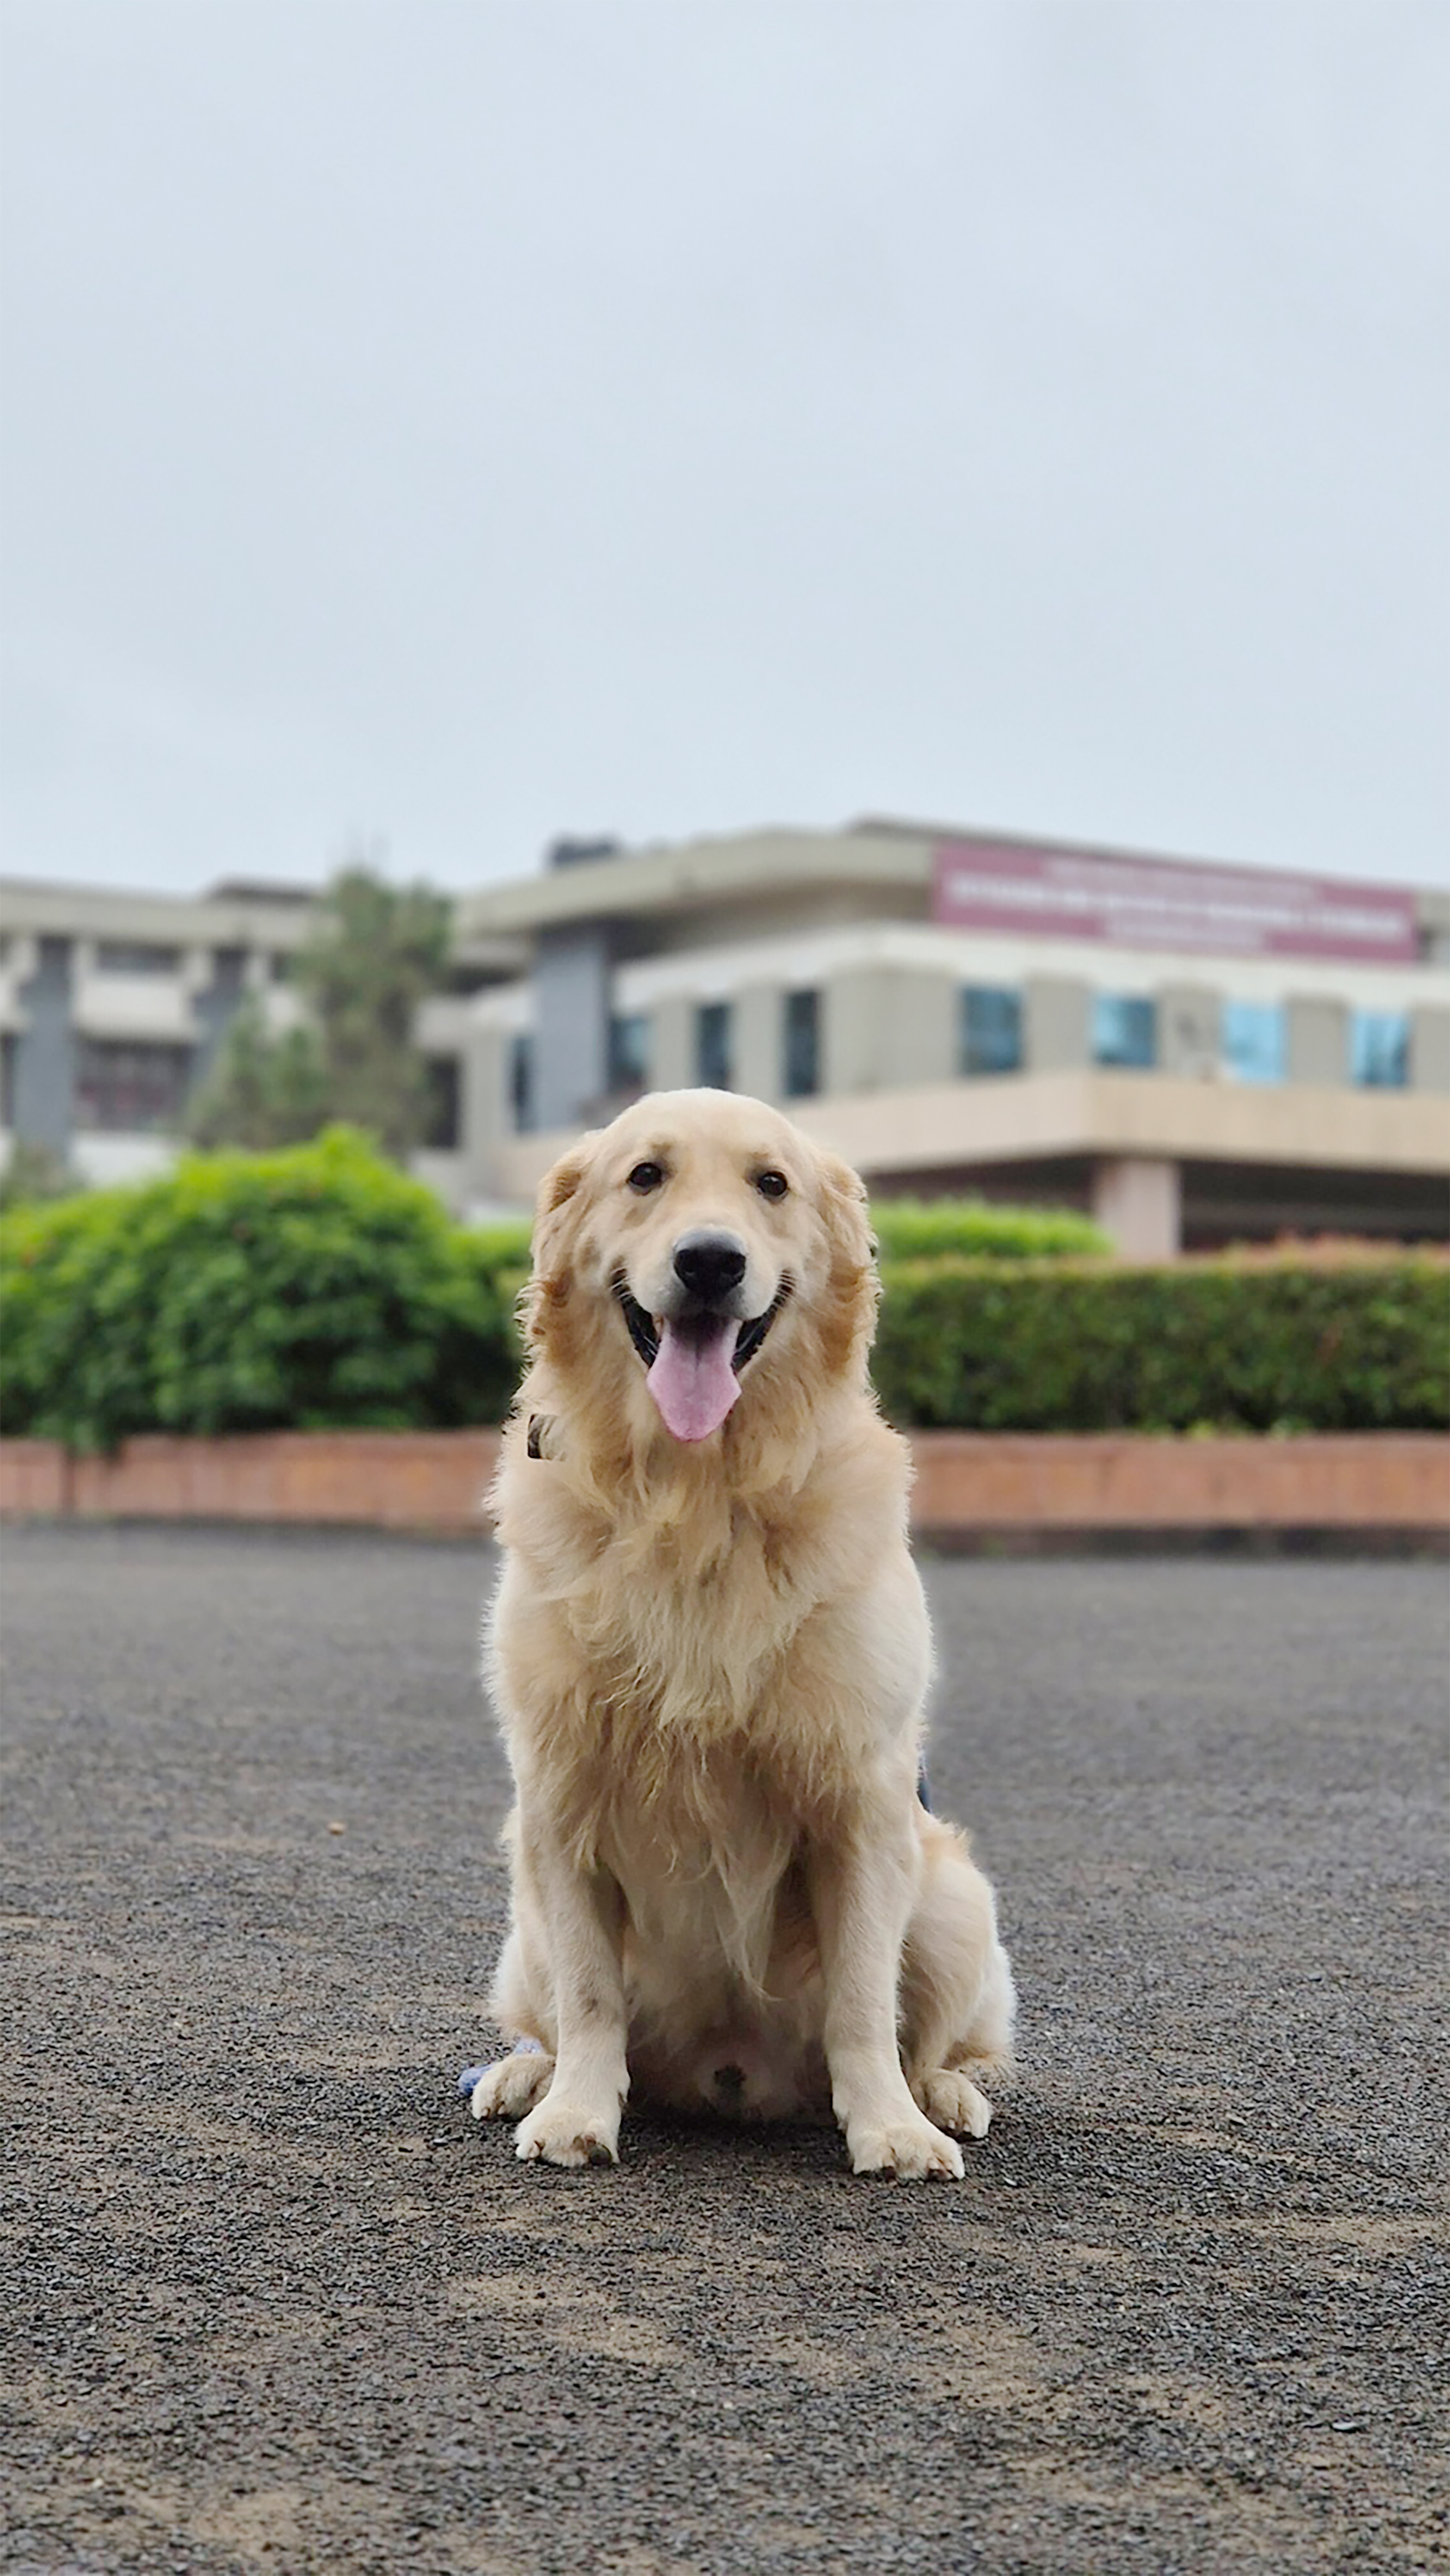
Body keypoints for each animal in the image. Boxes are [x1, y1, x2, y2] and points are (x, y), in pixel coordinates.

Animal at [471, 1087, 1014, 2174]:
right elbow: (589, 1995)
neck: (696, 1493)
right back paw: (524, 2076)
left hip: (953, 1899)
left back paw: (940, 2095)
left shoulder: (862, 1802)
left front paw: (889, 2126)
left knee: (936, 2034)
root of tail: (729, 2074)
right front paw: (576, 2110)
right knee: (552, 2017)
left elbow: (863, 1999)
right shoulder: (558, 1797)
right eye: (645, 1176)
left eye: (771, 1184)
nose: (711, 1262)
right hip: (523, 1922)